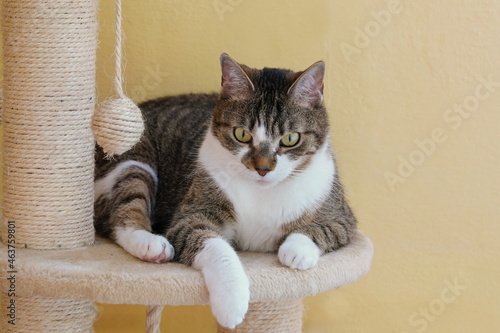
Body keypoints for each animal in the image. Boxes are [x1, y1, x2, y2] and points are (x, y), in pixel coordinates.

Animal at [94, 53, 358, 328]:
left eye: (290, 139)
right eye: (242, 134)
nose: (262, 168)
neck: (261, 193)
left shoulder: (341, 216)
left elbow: (324, 230)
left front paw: (295, 251)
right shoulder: (192, 213)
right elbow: (215, 247)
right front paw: (231, 304)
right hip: (133, 162)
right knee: (119, 214)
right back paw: (151, 245)